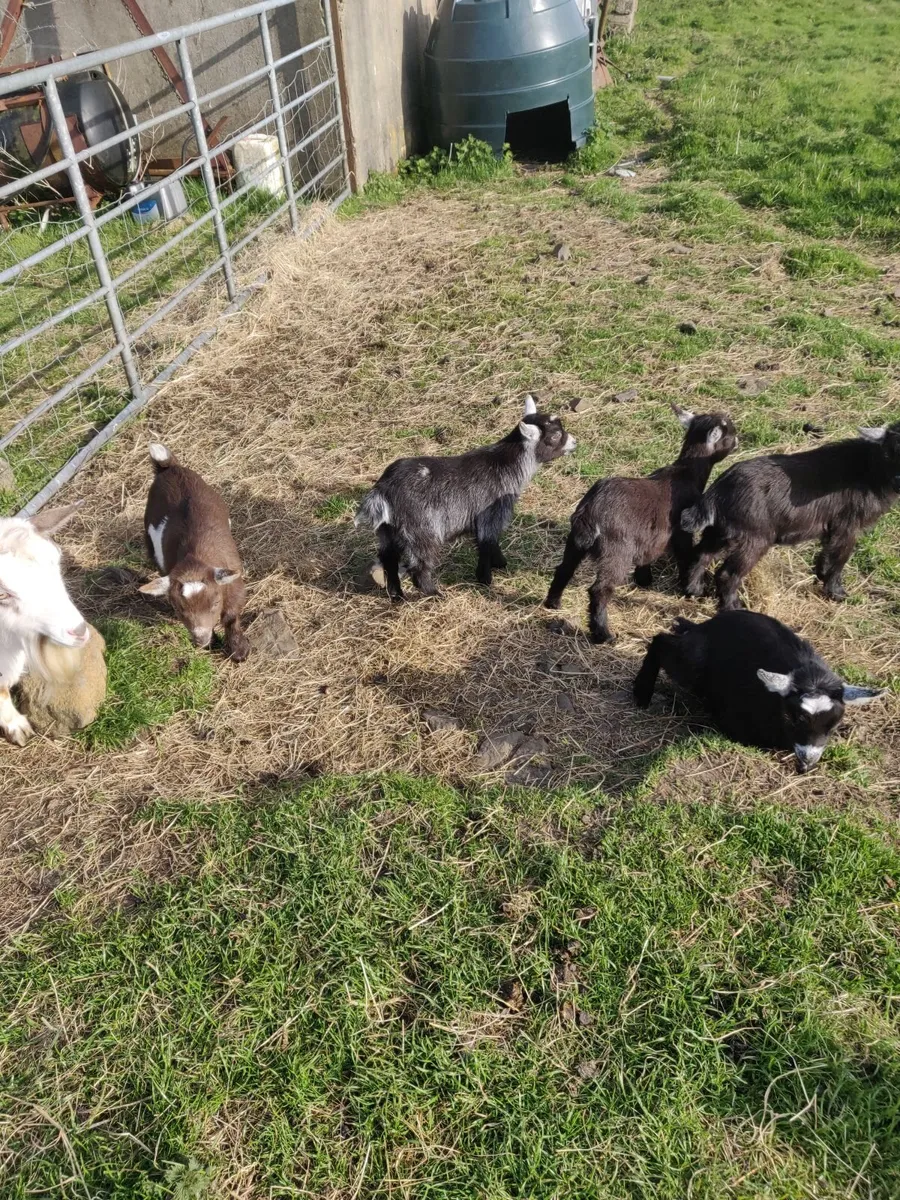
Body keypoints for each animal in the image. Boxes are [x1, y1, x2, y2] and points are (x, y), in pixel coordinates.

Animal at [139, 444, 250, 661]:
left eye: (215, 602)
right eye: (178, 609)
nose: (200, 638)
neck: (195, 557)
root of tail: (169, 467)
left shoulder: (234, 583)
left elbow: (231, 616)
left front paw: (239, 651)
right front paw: (212, 643)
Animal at [355, 396, 576, 600]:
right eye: (555, 435)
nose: (574, 442)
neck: (506, 463)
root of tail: (383, 491)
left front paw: (500, 564)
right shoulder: (491, 515)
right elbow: (487, 544)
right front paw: (486, 579)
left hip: (387, 532)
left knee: (389, 560)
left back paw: (397, 596)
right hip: (421, 531)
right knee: (419, 566)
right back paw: (435, 594)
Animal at [544, 405, 737, 643]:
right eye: (730, 433)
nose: (738, 441)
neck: (685, 474)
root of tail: (590, 512)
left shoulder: (649, 536)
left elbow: (647, 556)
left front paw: (644, 579)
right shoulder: (682, 532)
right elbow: (686, 556)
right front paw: (689, 588)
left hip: (575, 543)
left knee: (564, 568)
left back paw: (553, 604)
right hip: (616, 551)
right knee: (600, 590)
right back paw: (603, 634)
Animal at [633, 609, 883, 771]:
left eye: (834, 725)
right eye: (794, 717)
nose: (807, 761)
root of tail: (707, 625)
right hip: (691, 663)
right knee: (661, 642)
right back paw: (642, 693)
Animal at [681, 423, 900, 609]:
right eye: (890, 452)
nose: (899, 479)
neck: (868, 469)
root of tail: (717, 492)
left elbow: (826, 555)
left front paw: (821, 575)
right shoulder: (847, 527)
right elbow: (839, 559)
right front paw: (837, 593)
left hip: (720, 533)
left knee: (701, 555)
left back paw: (694, 590)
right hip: (754, 539)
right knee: (727, 574)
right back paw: (733, 606)